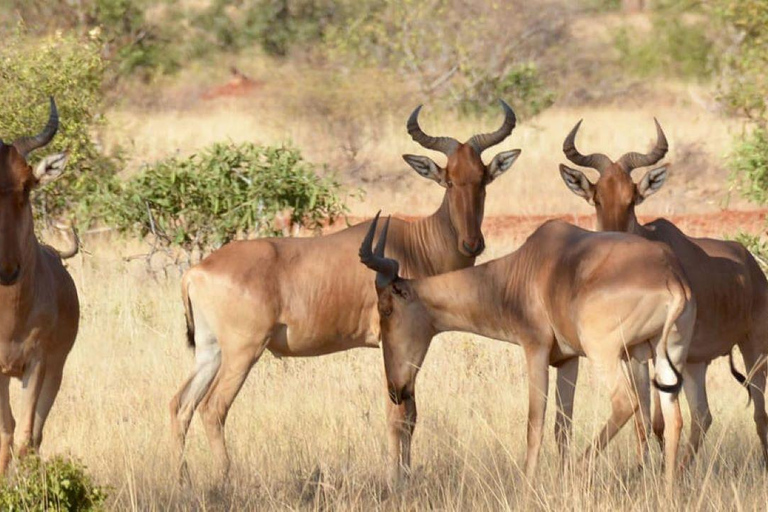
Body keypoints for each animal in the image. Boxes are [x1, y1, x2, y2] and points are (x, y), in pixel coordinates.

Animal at [360, 212, 696, 488]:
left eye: (386, 309)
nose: (396, 390)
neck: (526, 266)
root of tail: (672, 277)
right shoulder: (568, 360)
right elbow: (562, 426)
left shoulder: (535, 349)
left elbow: (535, 423)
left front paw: (528, 486)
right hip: (664, 354)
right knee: (674, 420)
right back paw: (666, 492)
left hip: (604, 352)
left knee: (626, 403)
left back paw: (579, 470)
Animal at [560, 119, 768, 468]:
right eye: (597, 197)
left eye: (632, 198)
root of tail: (751, 265)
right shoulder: (632, 355)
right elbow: (642, 417)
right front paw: (641, 467)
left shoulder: (659, 352)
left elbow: (657, 419)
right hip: (697, 361)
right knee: (703, 416)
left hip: (753, 346)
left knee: (759, 411)